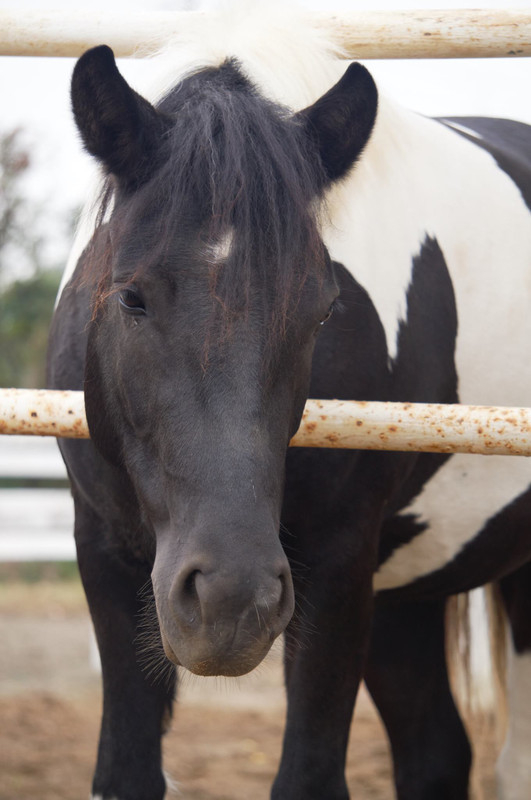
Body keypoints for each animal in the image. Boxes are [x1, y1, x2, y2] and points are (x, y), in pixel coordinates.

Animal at [46, 7, 531, 800]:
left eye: (322, 311)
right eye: (131, 297)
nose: (228, 602)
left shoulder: (335, 570)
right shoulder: (106, 555)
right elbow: (125, 770)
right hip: (405, 596)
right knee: (438, 750)